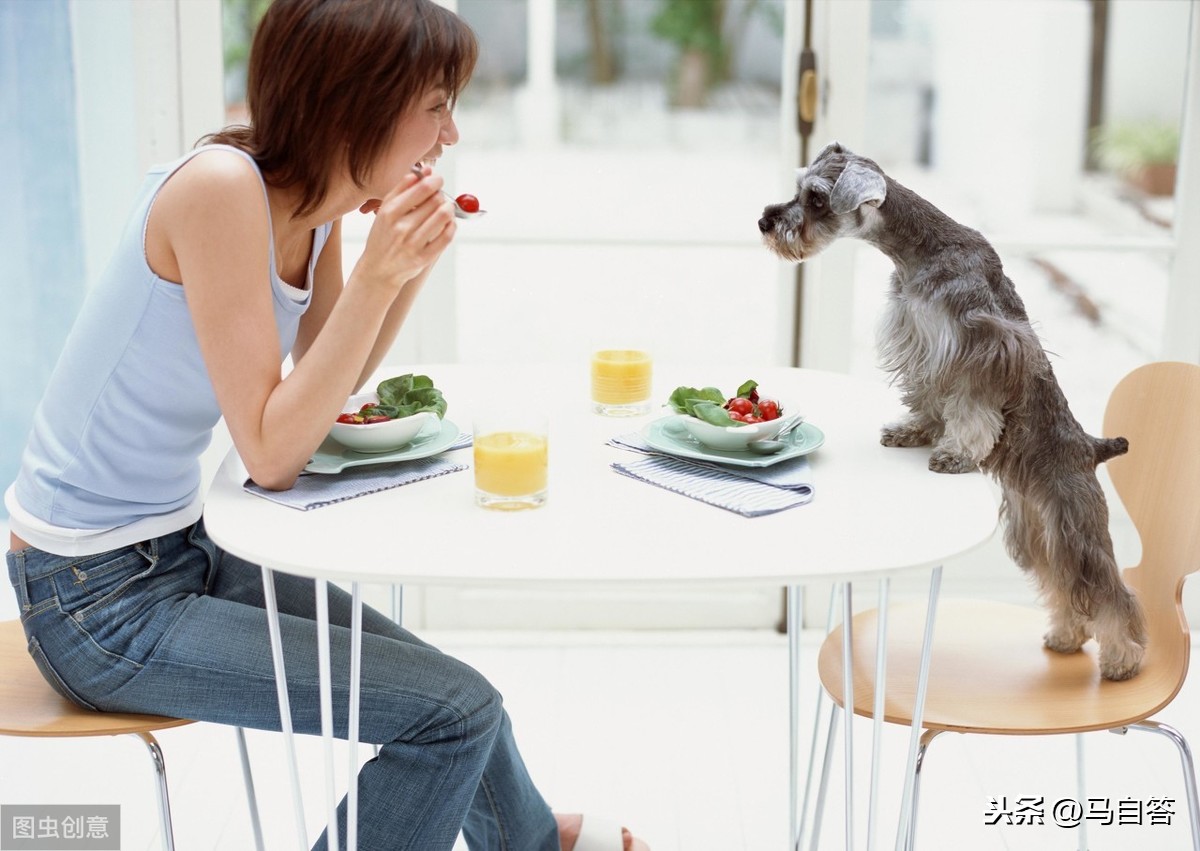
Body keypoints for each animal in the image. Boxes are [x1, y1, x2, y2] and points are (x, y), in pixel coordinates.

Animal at [758, 142, 1142, 681]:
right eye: (798, 187)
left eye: (815, 198)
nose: (765, 222)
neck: (917, 250)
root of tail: (1093, 447)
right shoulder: (918, 342)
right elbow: (926, 397)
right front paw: (912, 431)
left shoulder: (981, 347)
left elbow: (971, 409)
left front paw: (956, 453)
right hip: (1035, 529)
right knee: (1061, 584)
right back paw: (1066, 636)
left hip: (1075, 527)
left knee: (1107, 589)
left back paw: (1123, 659)